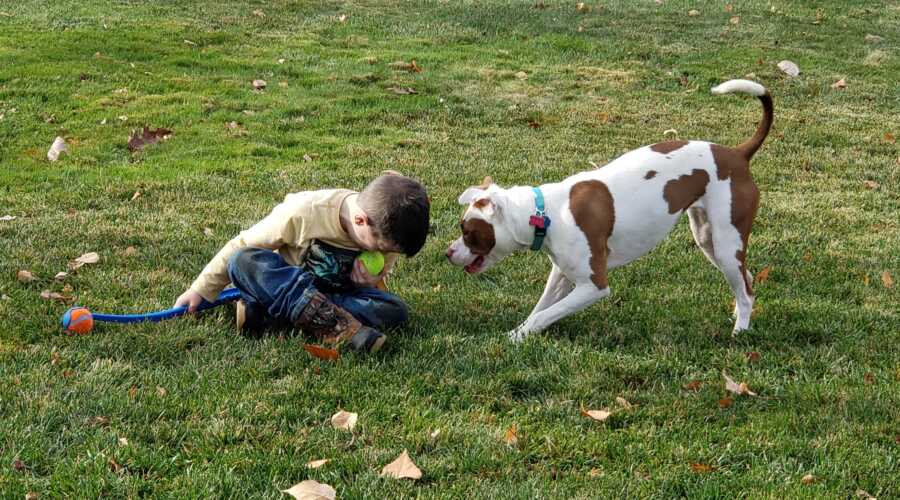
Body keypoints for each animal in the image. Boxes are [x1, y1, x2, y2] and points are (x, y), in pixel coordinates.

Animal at [450, 80, 772, 342]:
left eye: (467, 231)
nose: (447, 252)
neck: (546, 212)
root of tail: (738, 154)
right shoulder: (561, 276)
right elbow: (539, 310)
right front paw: (518, 334)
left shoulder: (594, 286)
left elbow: (545, 314)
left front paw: (519, 338)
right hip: (709, 240)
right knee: (747, 280)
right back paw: (738, 315)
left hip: (726, 242)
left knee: (747, 291)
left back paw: (740, 331)